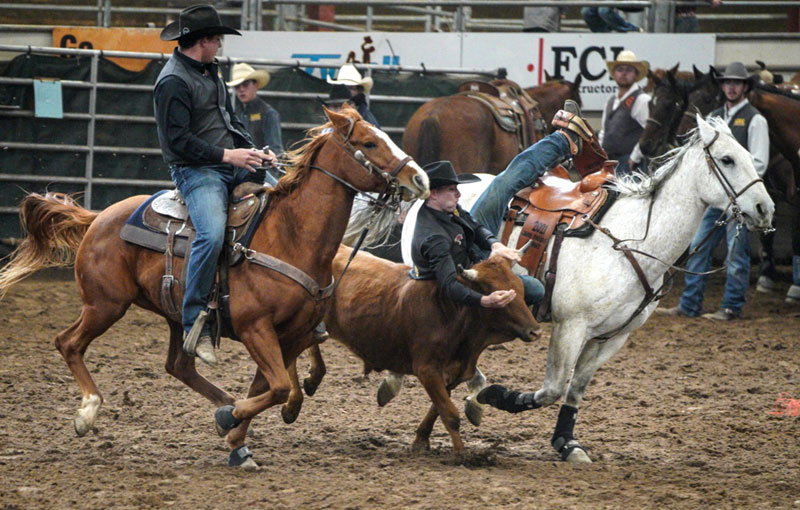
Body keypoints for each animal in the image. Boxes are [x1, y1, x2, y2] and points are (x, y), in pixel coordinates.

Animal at [0, 107, 432, 470]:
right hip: (105, 304)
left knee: (179, 365)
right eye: (369, 143)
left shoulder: (292, 334)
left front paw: (236, 436)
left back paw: (224, 401)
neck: (290, 235)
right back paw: (88, 411)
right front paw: (232, 422)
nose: (420, 179)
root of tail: (98, 217)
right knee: (68, 342)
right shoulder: (256, 327)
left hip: (175, 315)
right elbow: (277, 386)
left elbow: (270, 386)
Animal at [390, 115, 772, 462]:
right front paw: (500, 396)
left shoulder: (612, 336)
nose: (764, 209)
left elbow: (575, 389)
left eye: (751, 156)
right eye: (727, 159)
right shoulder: (570, 326)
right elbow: (552, 388)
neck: (630, 242)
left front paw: (566, 442)